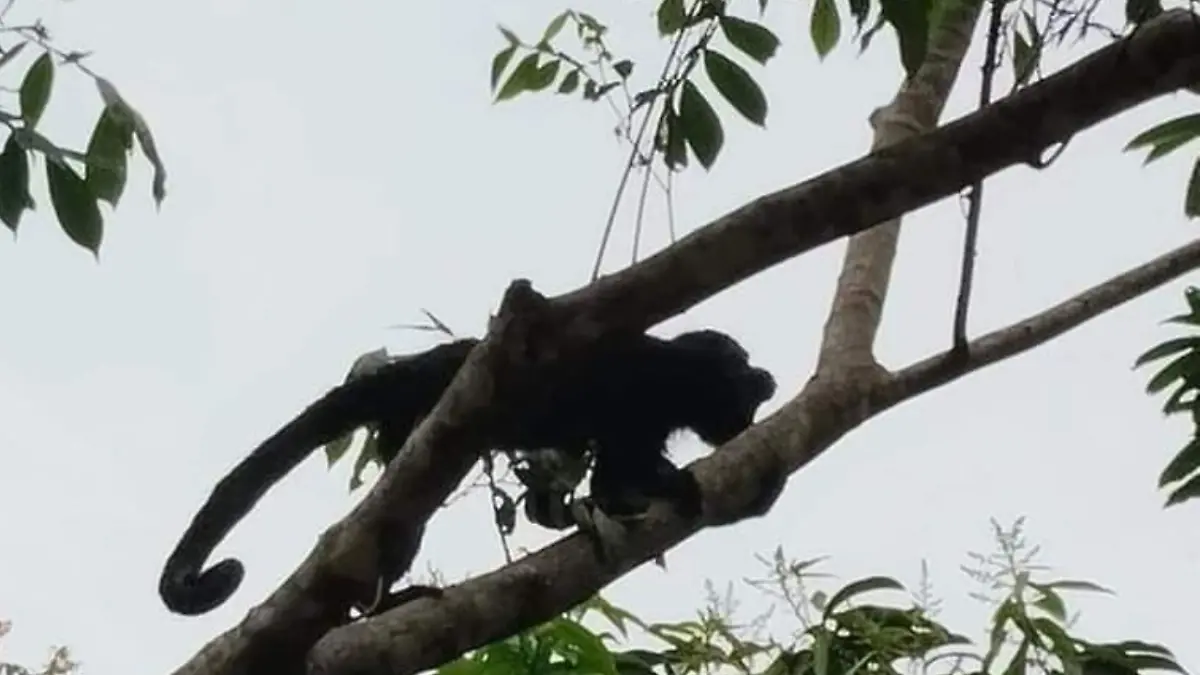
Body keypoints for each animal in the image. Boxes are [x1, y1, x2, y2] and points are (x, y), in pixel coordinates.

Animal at [158, 329, 777, 617]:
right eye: (741, 366)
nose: (765, 376)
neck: (678, 377)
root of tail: (412, 369)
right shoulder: (637, 401)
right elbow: (615, 478)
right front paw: (676, 486)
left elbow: (611, 487)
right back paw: (381, 604)